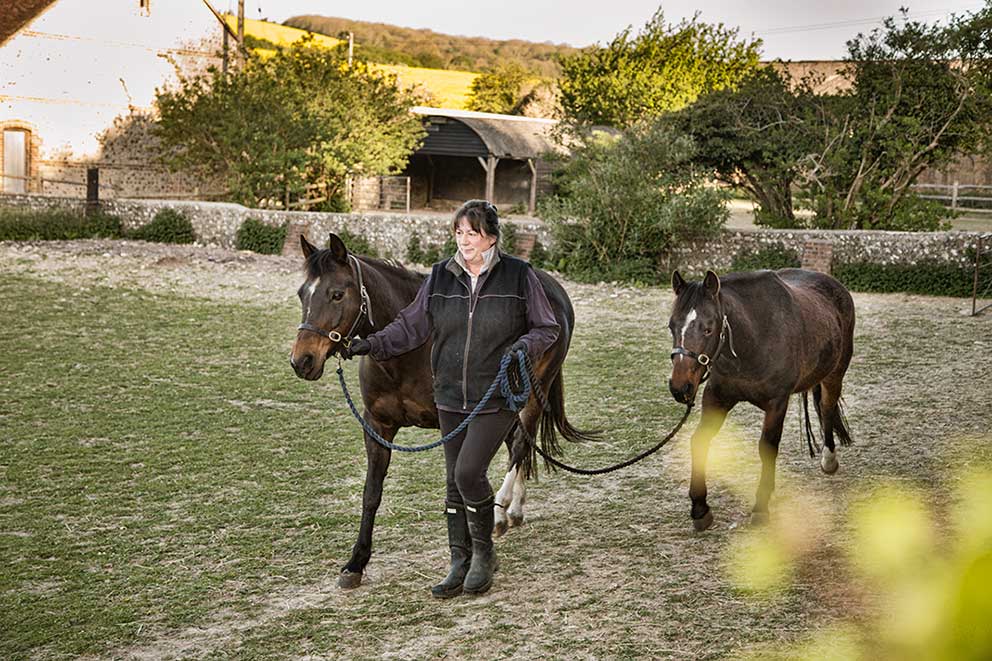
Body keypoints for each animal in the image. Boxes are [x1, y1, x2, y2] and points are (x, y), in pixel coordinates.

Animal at [672, 268, 856, 532]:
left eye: (708, 329)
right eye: (671, 327)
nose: (680, 387)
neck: (754, 340)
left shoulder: (777, 403)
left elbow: (767, 448)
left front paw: (761, 505)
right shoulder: (717, 398)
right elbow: (699, 441)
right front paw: (700, 508)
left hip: (834, 374)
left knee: (827, 407)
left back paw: (829, 459)